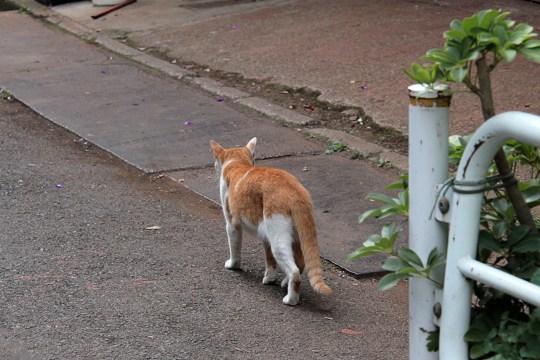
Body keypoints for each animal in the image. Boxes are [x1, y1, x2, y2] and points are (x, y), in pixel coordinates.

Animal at [210, 136, 330, 306]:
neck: (239, 163)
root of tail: (296, 191)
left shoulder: (232, 224)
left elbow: (235, 248)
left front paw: (233, 265)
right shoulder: (265, 234)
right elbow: (270, 261)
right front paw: (269, 279)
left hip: (278, 240)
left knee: (294, 271)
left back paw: (290, 299)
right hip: (294, 236)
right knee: (300, 263)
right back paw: (285, 283)